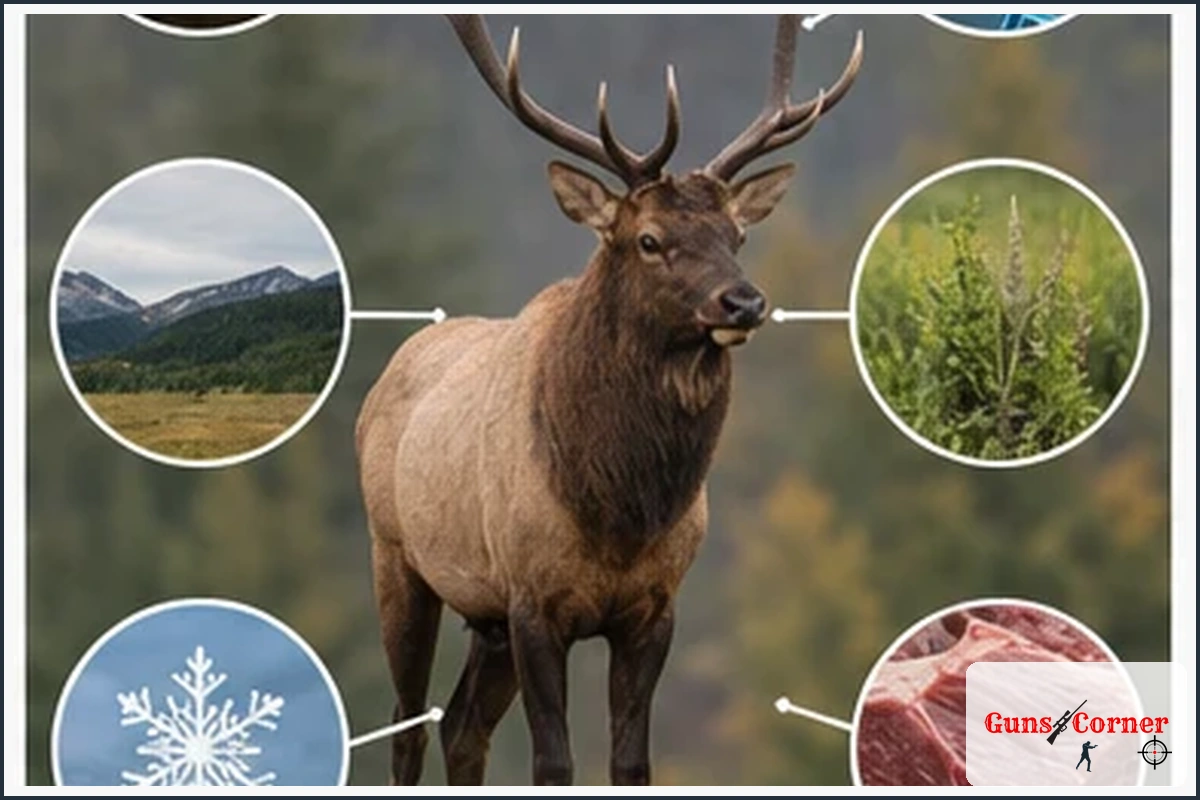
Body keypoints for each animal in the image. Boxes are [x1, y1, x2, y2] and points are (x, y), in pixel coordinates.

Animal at [356, 14, 862, 786]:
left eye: (738, 235)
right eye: (649, 239)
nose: (744, 302)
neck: (619, 510)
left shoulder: (653, 608)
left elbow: (632, 761)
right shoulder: (533, 602)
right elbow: (553, 760)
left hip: (485, 617)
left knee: (462, 727)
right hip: (398, 559)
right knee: (408, 725)